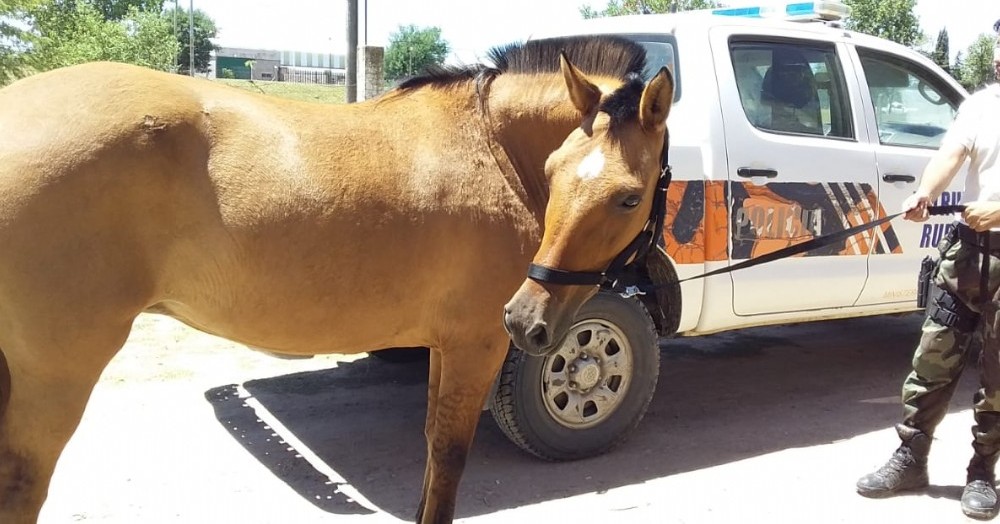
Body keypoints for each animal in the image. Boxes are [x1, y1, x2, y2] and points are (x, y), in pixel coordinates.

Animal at [0, 34, 672, 520]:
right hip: (56, 373)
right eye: (556, 171)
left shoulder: (445, 345)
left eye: (626, 196)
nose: (527, 319)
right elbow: (449, 458)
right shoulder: (475, 343)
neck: (489, 146)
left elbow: (432, 455)